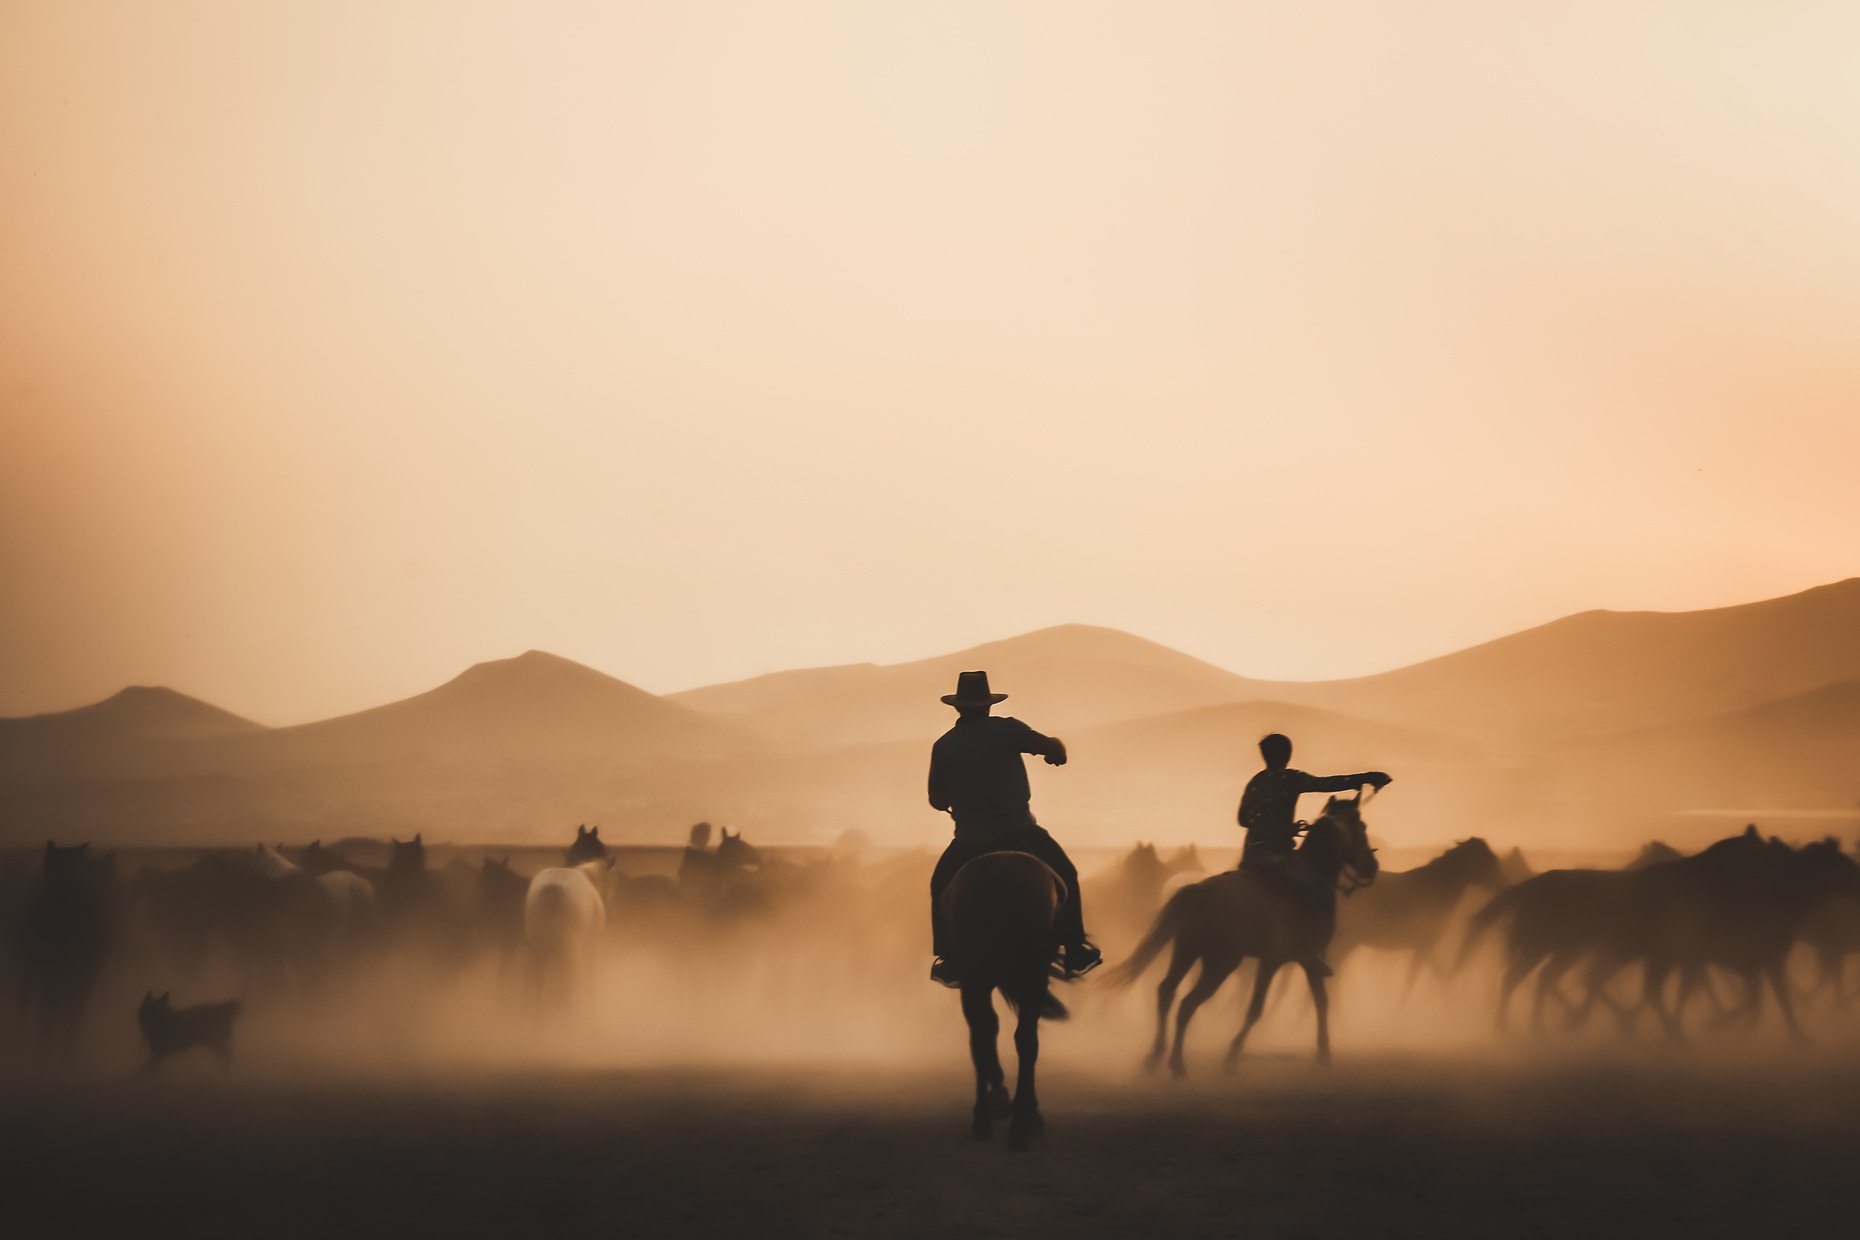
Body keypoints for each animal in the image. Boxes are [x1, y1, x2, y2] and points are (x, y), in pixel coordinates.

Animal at [937, 855, 1071, 1152]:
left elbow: (986, 1032)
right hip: (1023, 978)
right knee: (1021, 1039)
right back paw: (1019, 1120)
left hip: (989, 979)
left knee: (991, 1035)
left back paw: (996, 1117)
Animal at [1101, 795, 1383, 1078]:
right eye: (1362, 827)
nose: (1372, 868)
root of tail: (1198, 891)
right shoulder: (1283, 960)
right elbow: (1261, 1009)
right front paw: (1233, 1056)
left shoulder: (1292, 961)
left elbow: (1319, 1001)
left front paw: (1323, 1052)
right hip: (1220, 962)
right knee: (1188, 1003)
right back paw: (1177, 1063)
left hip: (1187, 951)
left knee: (1166, 992)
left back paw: (1155, 1055)